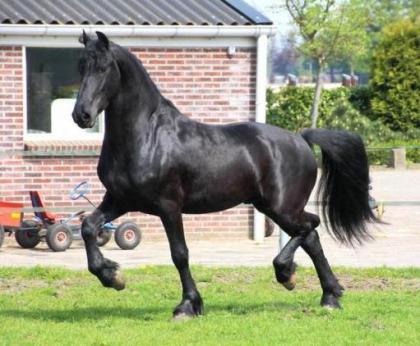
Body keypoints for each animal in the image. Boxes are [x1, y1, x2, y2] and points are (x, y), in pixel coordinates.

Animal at [72, 31, 378, 318]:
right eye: (80, 66)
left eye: (104, 68)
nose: (81, 115)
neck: (147, 136)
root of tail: (301, 139)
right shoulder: (120, 200)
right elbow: (88, 226)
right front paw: (112, 276)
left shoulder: (168, 206)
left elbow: (179, 254)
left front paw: (188, 305)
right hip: (271, 207)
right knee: (311, 237)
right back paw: (329, 295)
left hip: (282, 208)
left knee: (310, 227)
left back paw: (288, 274)